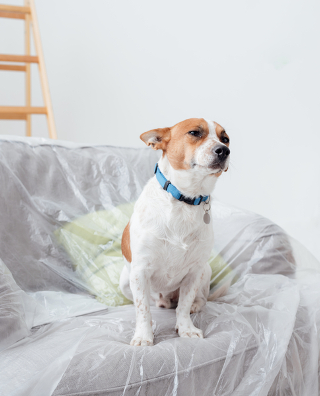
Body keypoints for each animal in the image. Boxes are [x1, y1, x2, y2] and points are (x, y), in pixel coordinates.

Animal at [120, 117, 230, 346]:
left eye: (225, 139)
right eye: (195, 132)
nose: (224, 150)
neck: (185, 199)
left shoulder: (194, 272)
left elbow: (184, 306)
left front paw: (186, 328)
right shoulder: (140, 272)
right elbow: (142, 309)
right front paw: (143, 336)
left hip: (205, 270)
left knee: (199, 299)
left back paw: (196, 304)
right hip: (126, 280)